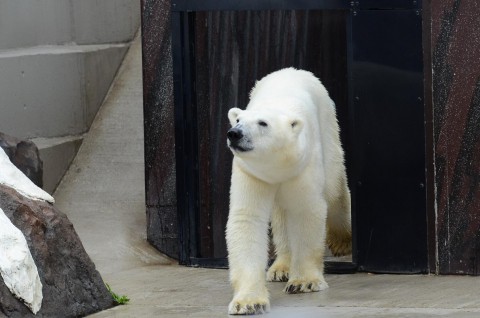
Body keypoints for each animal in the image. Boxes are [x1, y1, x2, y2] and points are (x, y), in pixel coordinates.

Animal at [225, 67, 352, 316]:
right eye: (239, 120)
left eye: (262, 123)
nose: (234, 133)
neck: (277, 164)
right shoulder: (251, 172)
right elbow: (247, 218)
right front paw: (249, 302)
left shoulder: (303, 163)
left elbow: (306, 211)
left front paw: (304, 282)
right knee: (280, 215)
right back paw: (280, 267)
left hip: (328, 127)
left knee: (334, 189)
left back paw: (342, 241)